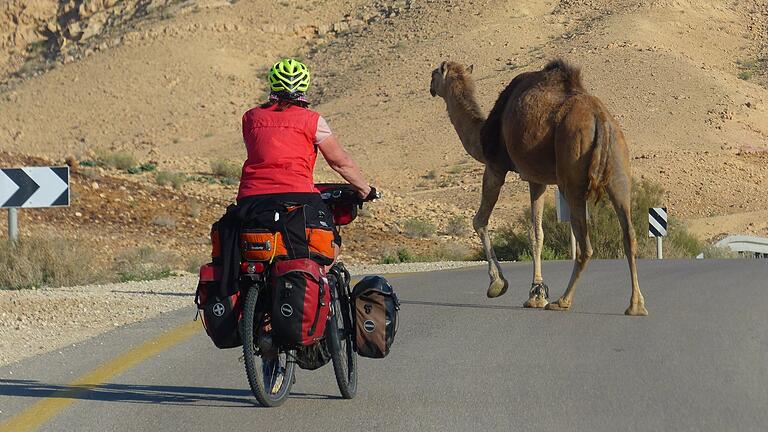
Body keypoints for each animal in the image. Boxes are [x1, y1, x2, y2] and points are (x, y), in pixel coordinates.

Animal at [432, 59, 648, 316]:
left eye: (435, 73)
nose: (430, 86)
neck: (483, 134)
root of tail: (601, 119)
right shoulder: (538, 179)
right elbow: (538, 233)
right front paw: (537, 293)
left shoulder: (496, 166)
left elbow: (481, 221)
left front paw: (499, 284)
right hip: (619, 169)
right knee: (629, 234)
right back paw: (636, 305)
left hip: (572, 175)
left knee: (586, 245)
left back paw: (563, 301)